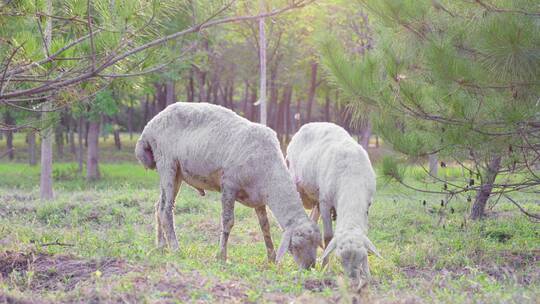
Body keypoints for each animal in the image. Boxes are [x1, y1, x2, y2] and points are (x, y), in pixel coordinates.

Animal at [135, 101, 320, 268]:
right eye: (296, 245)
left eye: (317, 244)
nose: (309, 267)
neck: (270, 174)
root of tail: (149, 128)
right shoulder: (229, 185)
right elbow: (228, 221)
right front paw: (221, 256)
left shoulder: (258, 199)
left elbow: (265, 227)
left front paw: (271, 258)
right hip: (167, 162)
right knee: (166, 210)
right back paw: (175, 248)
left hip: (177, 173)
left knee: (159, 206)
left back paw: (161, 246)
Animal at [286, 122, 380, 288]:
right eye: (340, 258)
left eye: (362, 257)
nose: (353, 281)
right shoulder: (325, 202)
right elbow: (328, 237)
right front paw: (326, 270)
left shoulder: (367, 205)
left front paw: (367, 274)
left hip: (316, 196)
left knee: (312, 218)